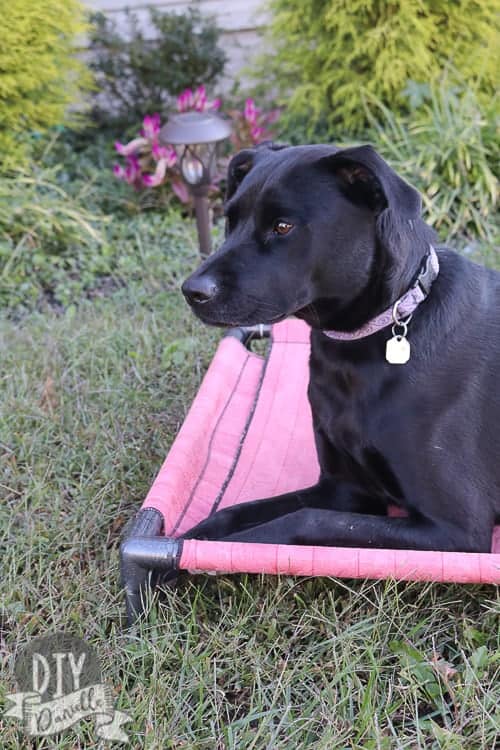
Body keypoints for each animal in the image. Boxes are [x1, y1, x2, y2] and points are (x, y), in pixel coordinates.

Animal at [181, 144, 500, 552]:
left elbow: (304, 520)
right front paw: (188, 541)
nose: (192, 292)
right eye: (230, 221)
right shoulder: (344, 489)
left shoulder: (456, 529)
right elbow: (233, 512)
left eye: (282, 227)